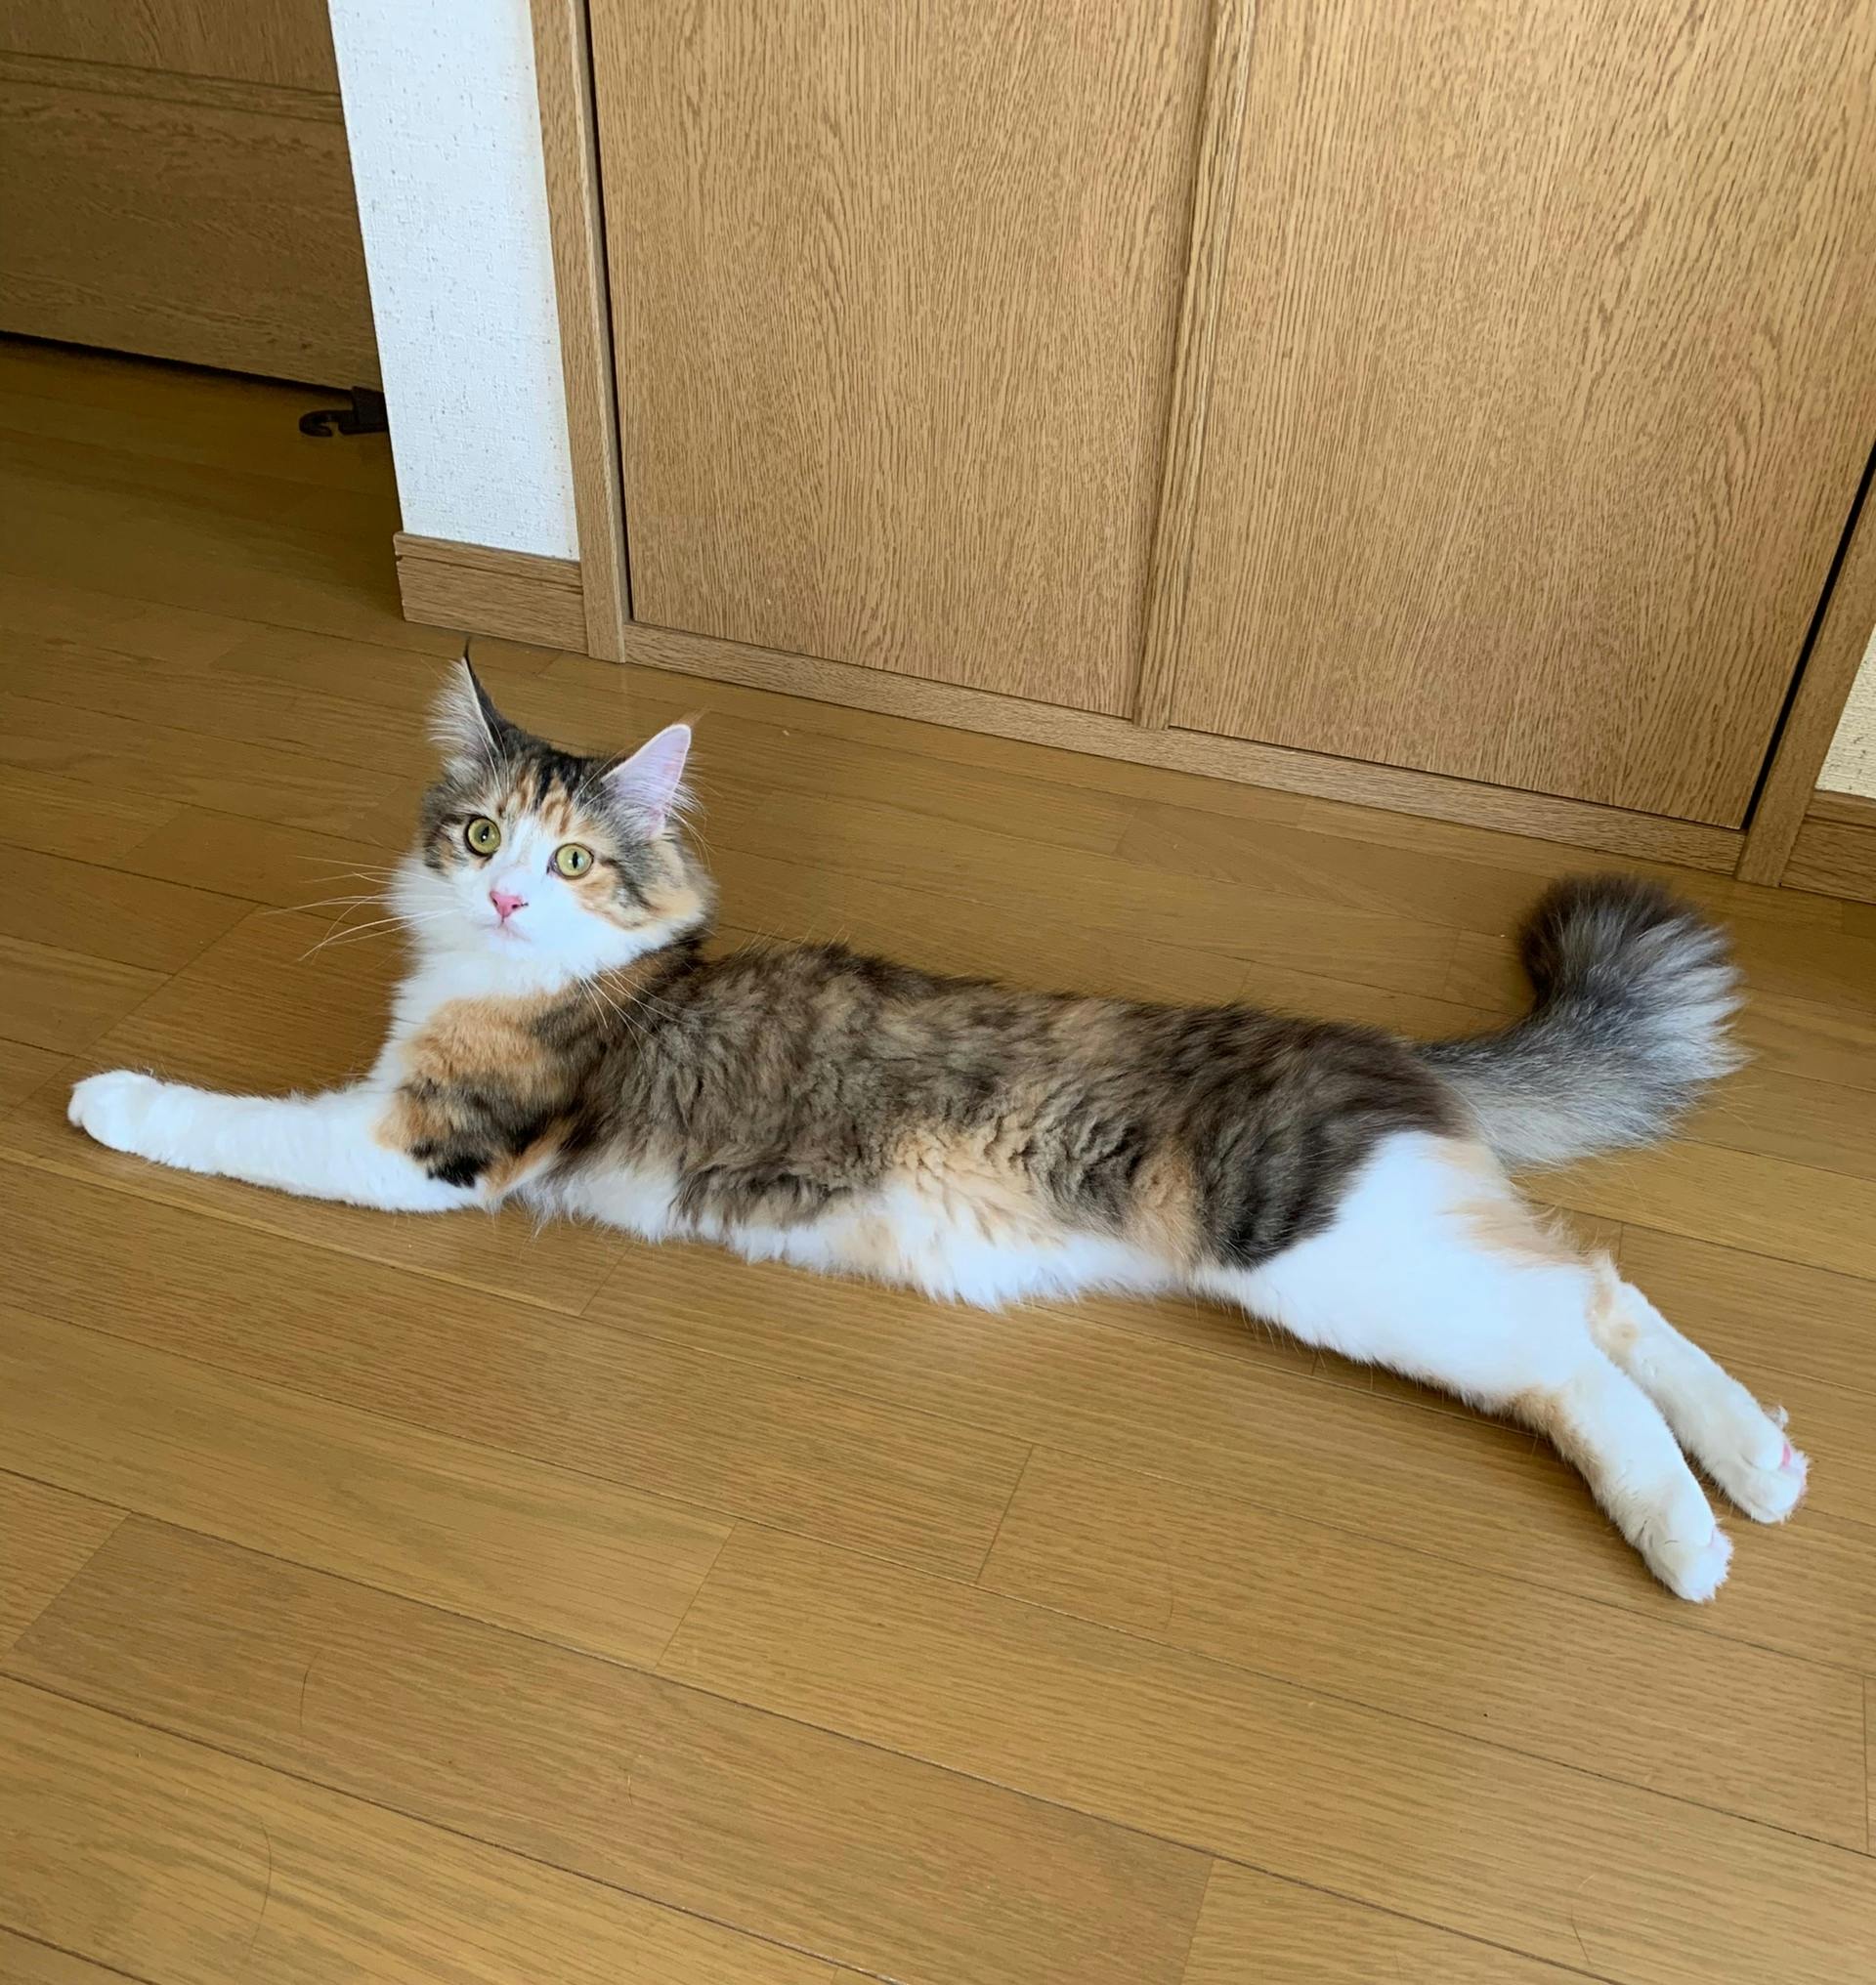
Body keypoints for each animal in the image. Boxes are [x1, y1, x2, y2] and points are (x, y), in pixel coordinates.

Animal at [69, 658, 1807, 1601]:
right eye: (482, 835)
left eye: (571, 864)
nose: (501, 895)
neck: (517, 975)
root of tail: (1374, 1046)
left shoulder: (429, 1140)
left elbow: (235, 1124)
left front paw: (104, 1095)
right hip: (1402, 1262)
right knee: (1598, 1304)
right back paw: (1762, 1470)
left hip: (1333, 1255)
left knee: (1580, 1336)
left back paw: (1696, 1535)